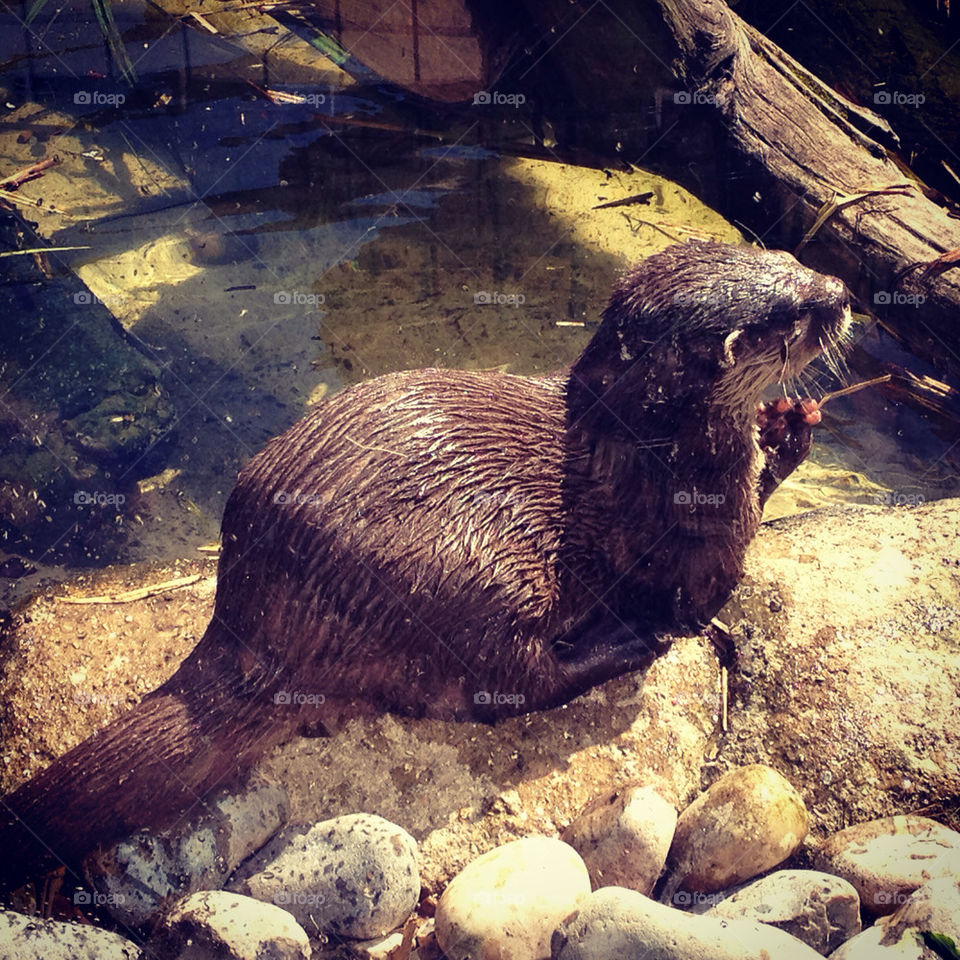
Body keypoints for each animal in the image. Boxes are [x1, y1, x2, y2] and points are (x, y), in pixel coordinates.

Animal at [0, 240, 850, 888]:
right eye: (791, 315)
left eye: (788, 256)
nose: (843, 293)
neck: (652, 442)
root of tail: (264, 624)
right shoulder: (704, 519)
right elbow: (711, 578)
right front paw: (788, 432)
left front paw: (789, 420)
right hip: (472, 578)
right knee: (502, 686)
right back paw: (622, 644)